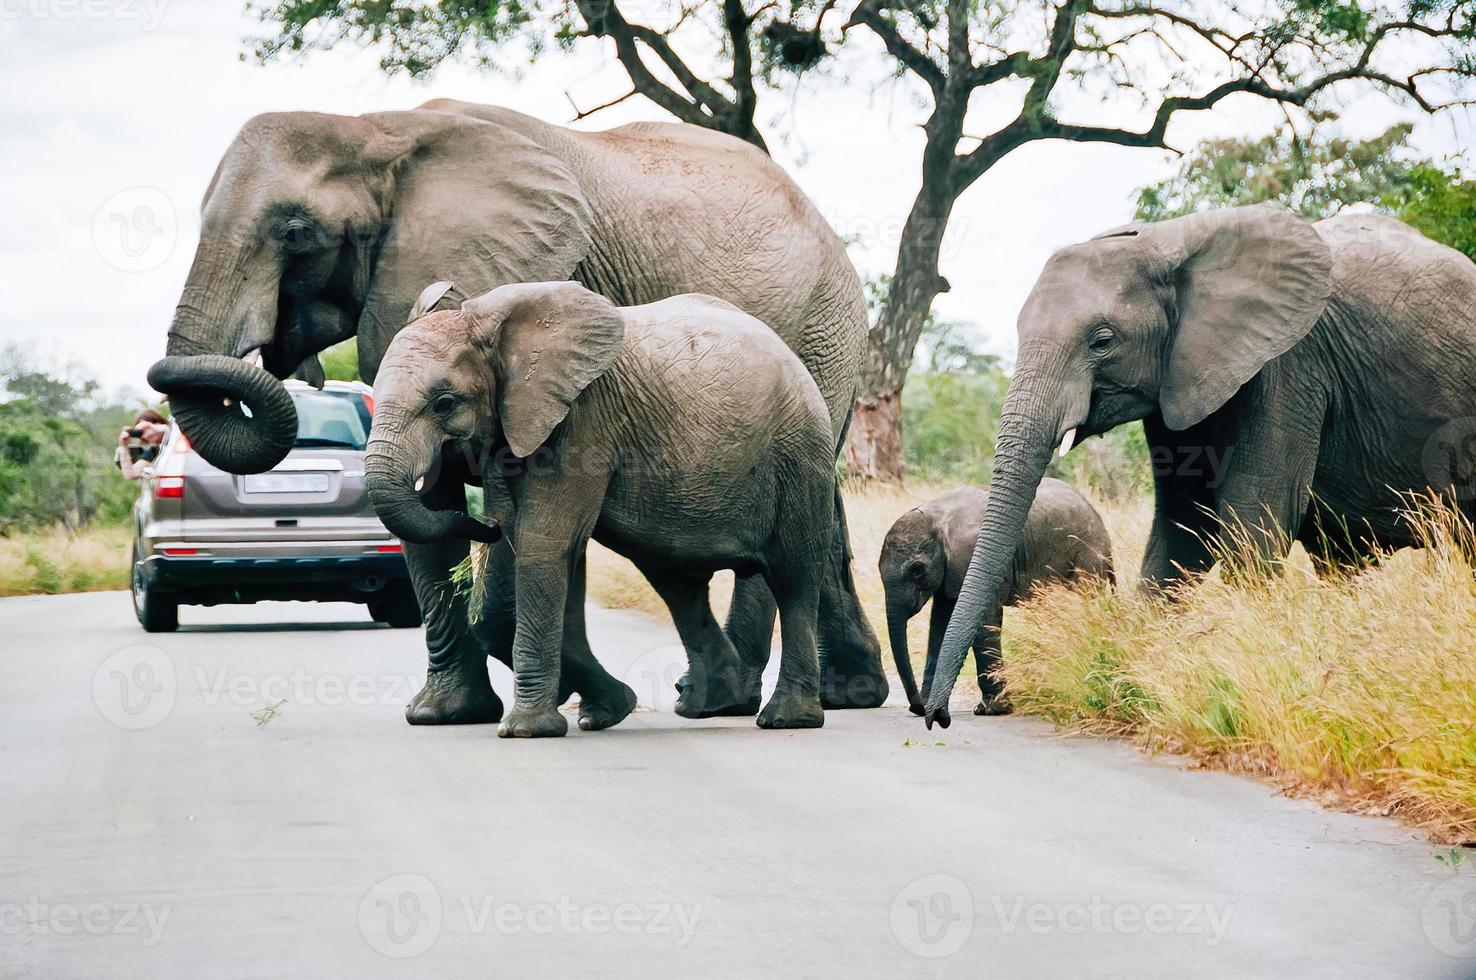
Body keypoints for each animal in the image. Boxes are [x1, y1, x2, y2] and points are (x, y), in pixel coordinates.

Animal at [364, 278, 838, 737]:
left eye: (444, 403)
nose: (482, 526)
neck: (493, 329)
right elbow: (551, 556)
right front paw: (609, 710)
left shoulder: (582, 422)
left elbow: (543, 545)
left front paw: (526, 730)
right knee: (678, 584)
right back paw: (713, 704)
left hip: (800, 455)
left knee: (794, 580)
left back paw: (786, 719)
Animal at [873, 478, 1109, 717]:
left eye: (917, 571)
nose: (917, 707)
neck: (936, 520)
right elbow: (941, 621)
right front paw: (933, 707)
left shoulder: (970, 555)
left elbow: (981, 618)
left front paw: (991, 709)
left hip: (1089, 553)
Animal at [921, 206, 1476, 726]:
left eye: (1102, 341)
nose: (938, 716)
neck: (1171, 241)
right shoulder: (1180, 375)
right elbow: (1183, 525)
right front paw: (1136, 683)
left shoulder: (1288, 365)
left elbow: (1253, 519)